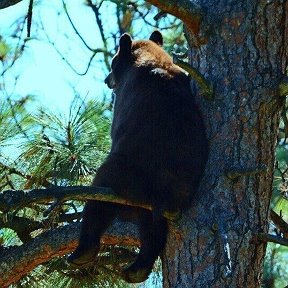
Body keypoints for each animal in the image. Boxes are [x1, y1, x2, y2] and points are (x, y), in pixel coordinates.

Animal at [68, 30, 208, 282]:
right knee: (153, 229)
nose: (107, 80)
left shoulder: (123, 99)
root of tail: (162, 195)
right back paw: (137, 269)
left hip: (124, 175)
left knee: (100, 199)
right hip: (169, 194)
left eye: (112, 62)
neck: (154, 60)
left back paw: (82, 251)